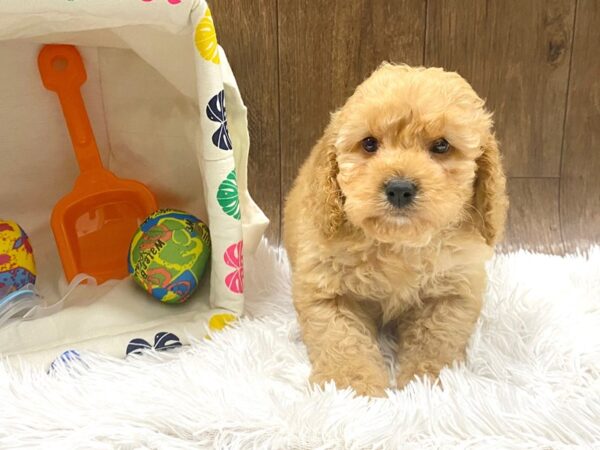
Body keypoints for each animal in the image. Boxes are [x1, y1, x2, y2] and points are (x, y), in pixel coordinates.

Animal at [284, 63, 508, 398]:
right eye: (369, 144)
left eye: (442, 145)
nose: (400, 189)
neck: (398, 243)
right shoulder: (327, 290)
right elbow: (342, 340)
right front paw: (350, 388)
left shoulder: (452, 291)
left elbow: (436, 340)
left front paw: (426, 381)